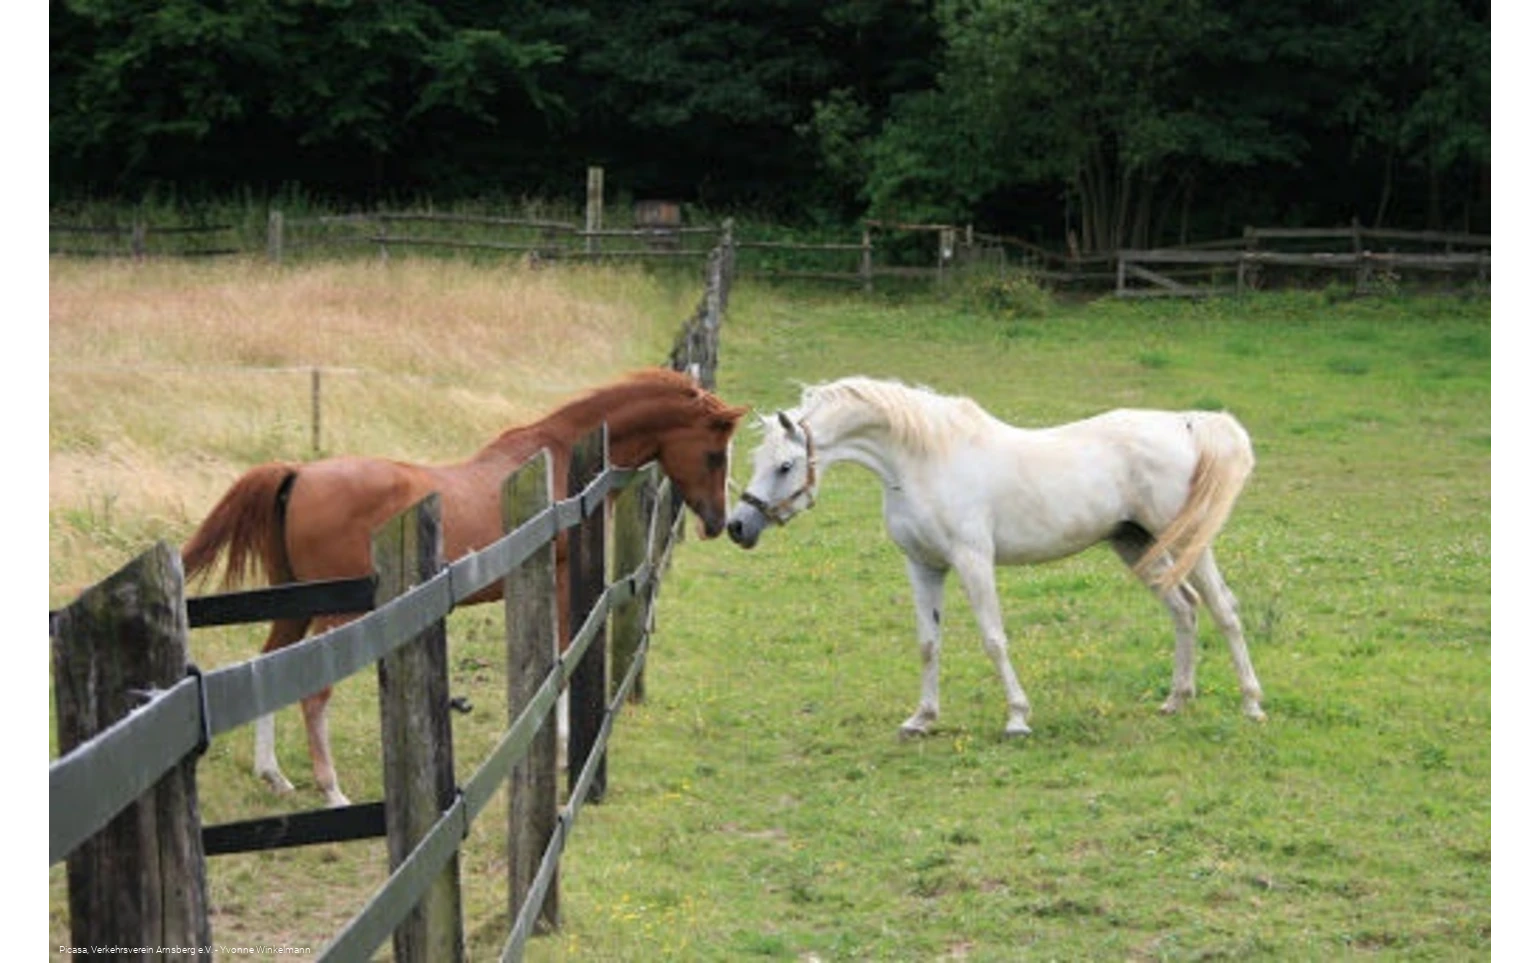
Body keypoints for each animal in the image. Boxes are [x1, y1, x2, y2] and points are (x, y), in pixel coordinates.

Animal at [183, 368, 748, 806]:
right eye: (716, 454)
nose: (719, 522)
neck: (562, 461)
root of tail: (298, 474)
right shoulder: (562, 579)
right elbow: (562, 653)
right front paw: (565, 745)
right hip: (338, 617)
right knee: (314, 693)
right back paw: (332, 790)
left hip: (295, 606)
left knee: (265, 667)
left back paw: (274, 775)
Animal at [725, 376, 1265, 738]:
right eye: (756, 461)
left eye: (786, 465)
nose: (737, 527)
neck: (925, 461)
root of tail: (1186, 426)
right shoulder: (923, 566)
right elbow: (928, 644)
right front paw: (921, 719)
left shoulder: (973, 561)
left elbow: (993, 639)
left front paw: (1017, 718)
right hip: (1136, 544)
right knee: (1185, 609)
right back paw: (1176, 701)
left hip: (1188, 540)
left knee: (1224, 609)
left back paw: (1252, 705)